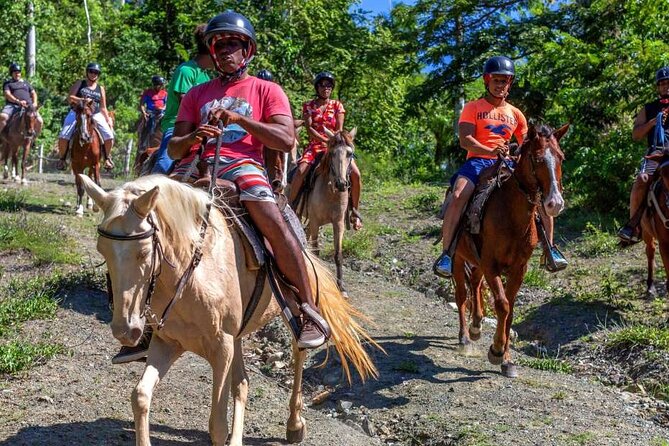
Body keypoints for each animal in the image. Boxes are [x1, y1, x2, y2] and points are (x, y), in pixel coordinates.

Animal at [76, 174, 378, 446]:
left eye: (143, 252)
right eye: (102, 250)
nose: (125, 331)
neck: (193, 272)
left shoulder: (221, 348)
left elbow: (217, 425)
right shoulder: (167, 343)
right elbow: (140, 397)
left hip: (291, 311)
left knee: (298, 356)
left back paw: (295, 424)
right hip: (237, 335)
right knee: (242, 383)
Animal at [298, 127, 354, 294]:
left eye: (350, 153)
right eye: (333, 153)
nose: (341, 184)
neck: (331, 193)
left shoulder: (338, 223)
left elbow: (338, 254)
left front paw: (341, 287)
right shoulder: (316, 221)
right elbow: (316, 251)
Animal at [452, 123, 568, 378]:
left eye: (561, 157)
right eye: (536, 158)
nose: (554, 203)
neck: (512, 217)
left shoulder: (518, 268)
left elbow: (511, 310)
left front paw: (506, 359)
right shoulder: (491, 265)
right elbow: (502, 304)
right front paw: (496, 350)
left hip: (477, 262)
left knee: (475, 283)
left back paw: (476, 326)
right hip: (457, 257)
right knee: (462, 294)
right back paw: (465, 338)